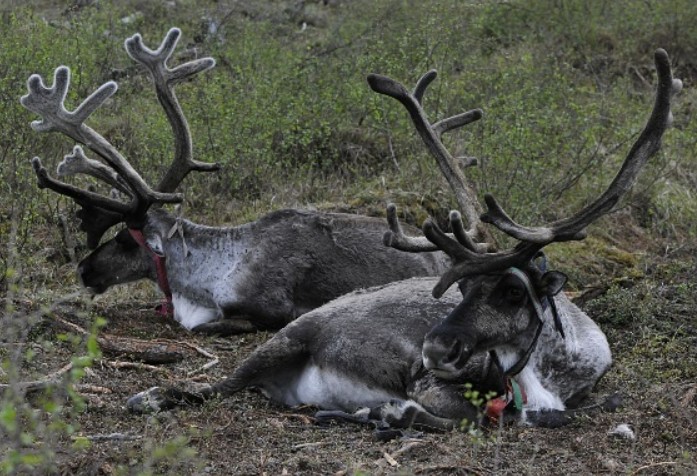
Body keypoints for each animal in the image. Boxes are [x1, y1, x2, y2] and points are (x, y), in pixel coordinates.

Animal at [126, 49, 680, 430]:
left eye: (512, 291)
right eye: (461, 288)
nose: (433, 348)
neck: (549, 367)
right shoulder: (434, 384)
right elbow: (462, 414)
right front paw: (393, 411)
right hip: (285, 339)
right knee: (213, 385)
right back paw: (148, 397)